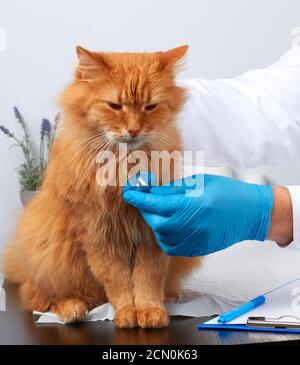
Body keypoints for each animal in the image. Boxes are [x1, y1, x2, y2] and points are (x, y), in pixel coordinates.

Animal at [3, 44, 200, 328]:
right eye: (115, 106)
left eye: (150, 106)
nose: (133, 130)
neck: (125, 165)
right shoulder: (98, 233)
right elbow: (117, 281)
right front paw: (127, 313)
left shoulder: (151, 233)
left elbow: (147, 278)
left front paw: (151, 310)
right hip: (51, 253)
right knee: (43, 297)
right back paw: (72, 309)